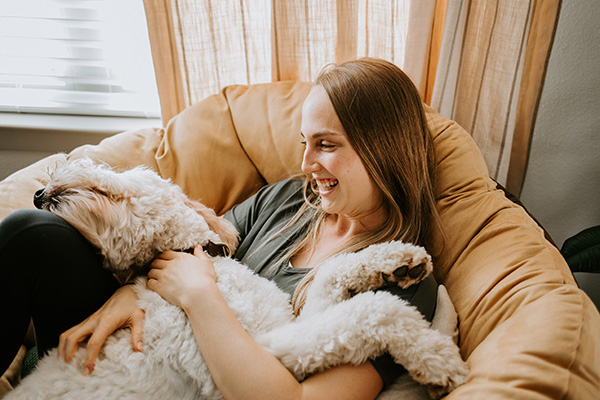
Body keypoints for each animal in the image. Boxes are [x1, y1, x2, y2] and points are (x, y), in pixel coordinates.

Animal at [8, 158, 468, 398]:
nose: (38, 194)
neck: (200, 258)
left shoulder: (286, 321)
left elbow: (331, 273)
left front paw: (401, 259)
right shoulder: (265, 354)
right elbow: (375, 309)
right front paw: (438, 357)